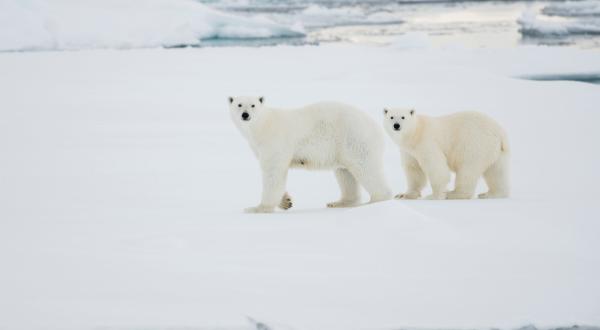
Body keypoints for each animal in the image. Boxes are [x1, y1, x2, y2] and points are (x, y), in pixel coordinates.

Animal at [227, 96, 392, 213]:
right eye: (239, 104)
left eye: (253, 105)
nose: (245, 115)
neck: (263, 126)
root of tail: (377, 128)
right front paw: (286, 201)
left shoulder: (274, 142)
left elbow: (273, 172)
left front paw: (258, 208)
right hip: (343, 148)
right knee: (344, 173)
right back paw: (340, 202)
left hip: (355, 139)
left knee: (366, 169)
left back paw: (375, 201)